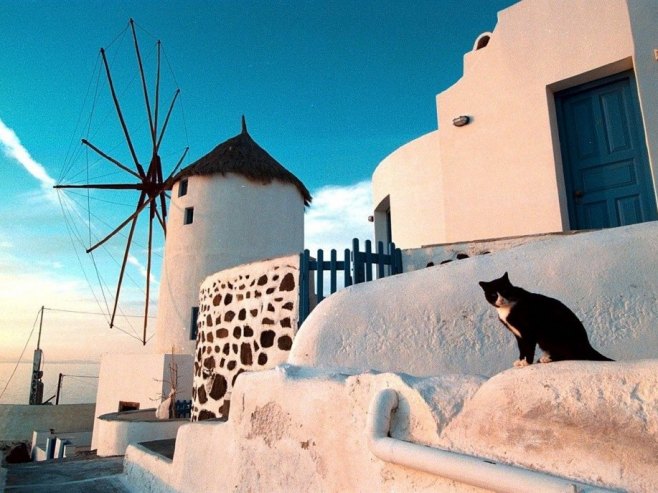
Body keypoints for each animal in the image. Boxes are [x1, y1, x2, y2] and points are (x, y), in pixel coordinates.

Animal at [476, 270, 608, 368]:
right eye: (493, 295)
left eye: (504, 290)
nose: (501, 300)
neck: (506, 309)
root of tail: (587, 344)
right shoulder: (518, 334)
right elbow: (521, 348)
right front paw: (520, 361)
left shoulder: (528, 332)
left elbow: (528, 348)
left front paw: (527, 362)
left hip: (551, 335)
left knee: (571, 355)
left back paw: (547, 359)